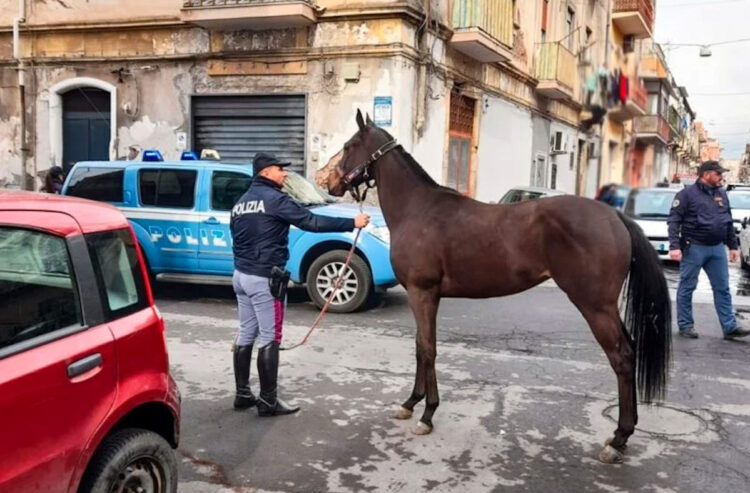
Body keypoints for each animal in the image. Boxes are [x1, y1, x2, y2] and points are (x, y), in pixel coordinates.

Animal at [324, 110, 672, 464]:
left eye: (349, 145)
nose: (330, 182)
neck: (417, 209)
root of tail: (615, 217)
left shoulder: (423, 293)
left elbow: (428, 349)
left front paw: (427, 414)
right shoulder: (425, 296)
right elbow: (421, 347)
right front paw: (411, 403)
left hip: (595, 306)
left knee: (622, 357)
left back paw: (618, 438)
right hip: (605, 307)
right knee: (629, 350)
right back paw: (622, 436)